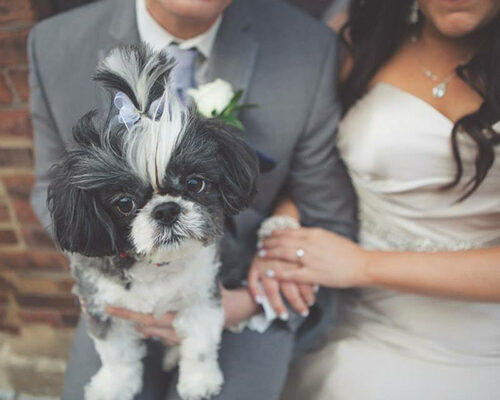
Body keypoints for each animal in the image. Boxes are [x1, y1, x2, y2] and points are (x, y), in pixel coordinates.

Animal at [48, 44, 260, 400]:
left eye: (194, 184)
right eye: (124, 203)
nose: (166, 210)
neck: (156, 266)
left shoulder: (201, 298)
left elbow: (200, 346)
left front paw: (199, 381)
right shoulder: (105, 308)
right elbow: (118, 357)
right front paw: (114, 386)